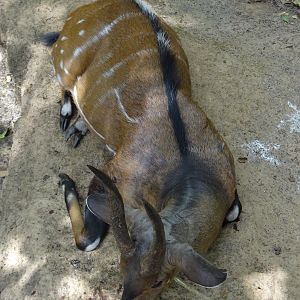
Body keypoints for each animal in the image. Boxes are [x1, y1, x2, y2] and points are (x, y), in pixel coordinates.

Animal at [42, 0, 241, 298]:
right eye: (120, 265)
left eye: (159, 281)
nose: (126, 296)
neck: (188, 168)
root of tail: (76, 14)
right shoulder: (112, 172)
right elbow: (88, 240)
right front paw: (65, 180)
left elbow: (235, 211)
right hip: (63, 65)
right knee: (64, 84)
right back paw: (68, 119)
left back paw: (77, 127)